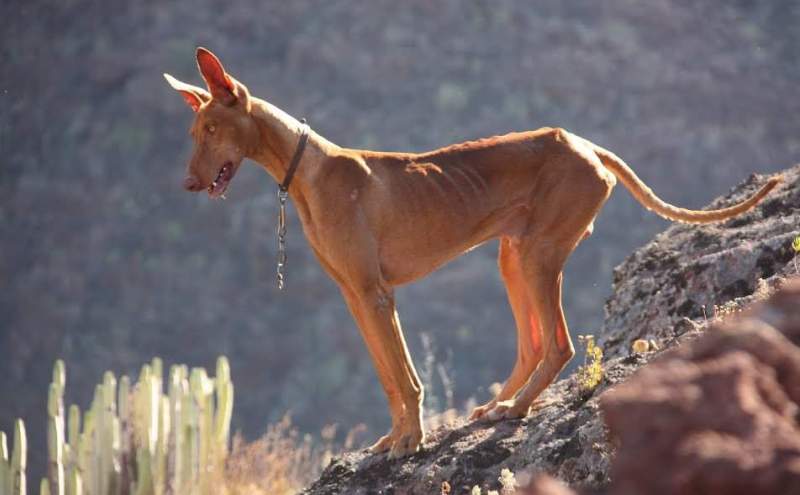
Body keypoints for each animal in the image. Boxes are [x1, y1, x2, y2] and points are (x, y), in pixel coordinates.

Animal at [164, 48, 780, 460]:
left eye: (212, 128)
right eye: (192, 132)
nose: (187, 184)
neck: (309, 171)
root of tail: (586, 143)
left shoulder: (375, 293)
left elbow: (406, 375)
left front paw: (411, 440)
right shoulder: (355, 296)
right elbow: (388, 376)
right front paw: (396, 436)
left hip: (538, 254)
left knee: (558, 344)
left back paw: (516, 409)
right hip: (513, 255)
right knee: (533, 344)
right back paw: (498, 405)